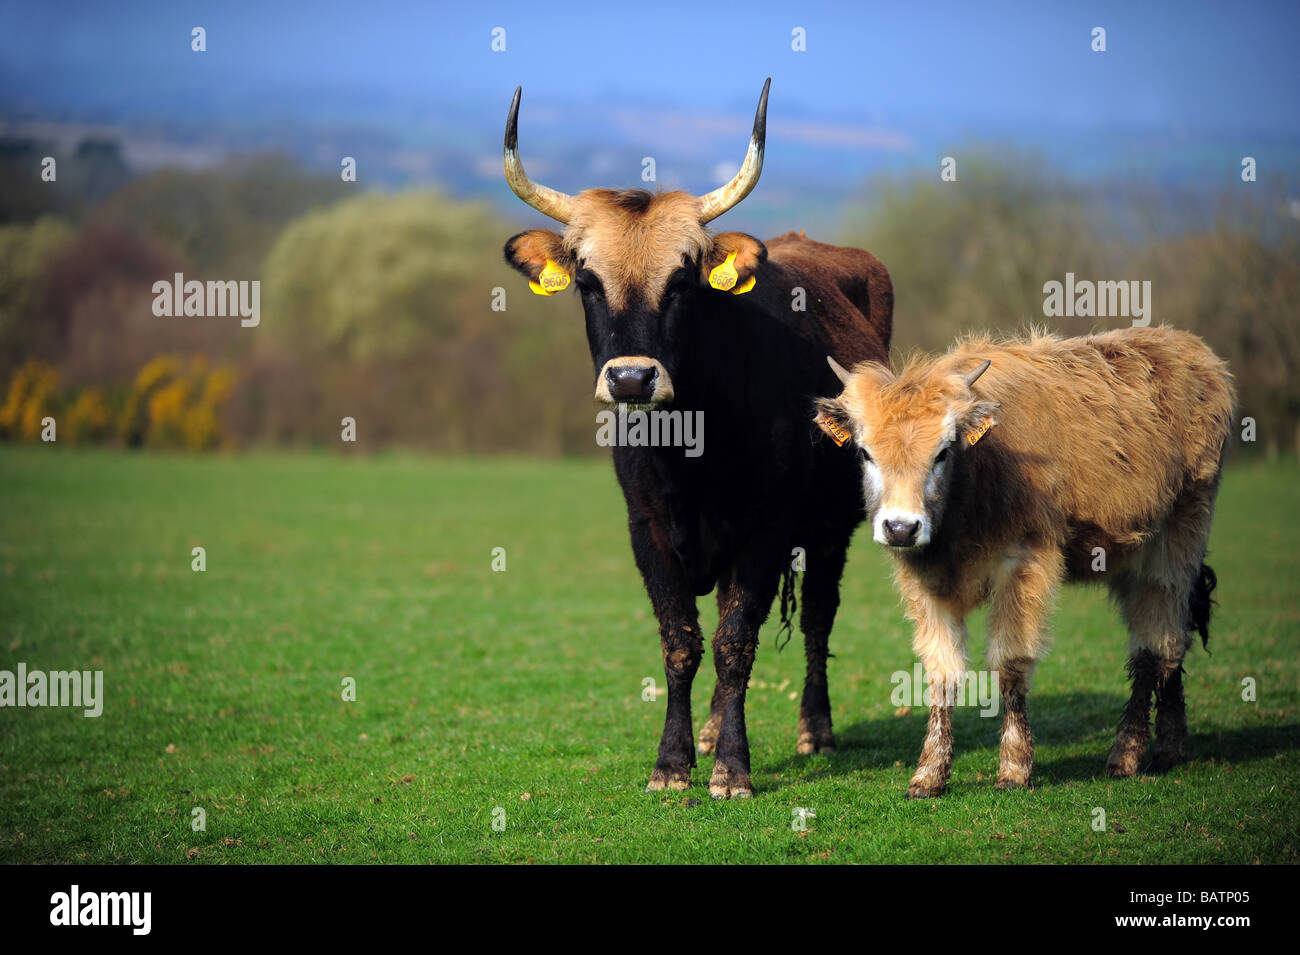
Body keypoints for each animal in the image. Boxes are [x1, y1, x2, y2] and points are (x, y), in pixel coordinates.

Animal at [816, 328, 1232, 800]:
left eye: (942, 452)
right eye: (866, 453)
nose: (901, 528)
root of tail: (1186, 346)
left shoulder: (1024, 564)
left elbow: (1011, 664)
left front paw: (1014, 768)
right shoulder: (926, 584)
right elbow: (942, 672)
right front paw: (929, 773)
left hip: (1174, 545)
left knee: (1155, 645)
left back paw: (1127, 755)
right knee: (1172, 641)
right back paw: (1169, 746)